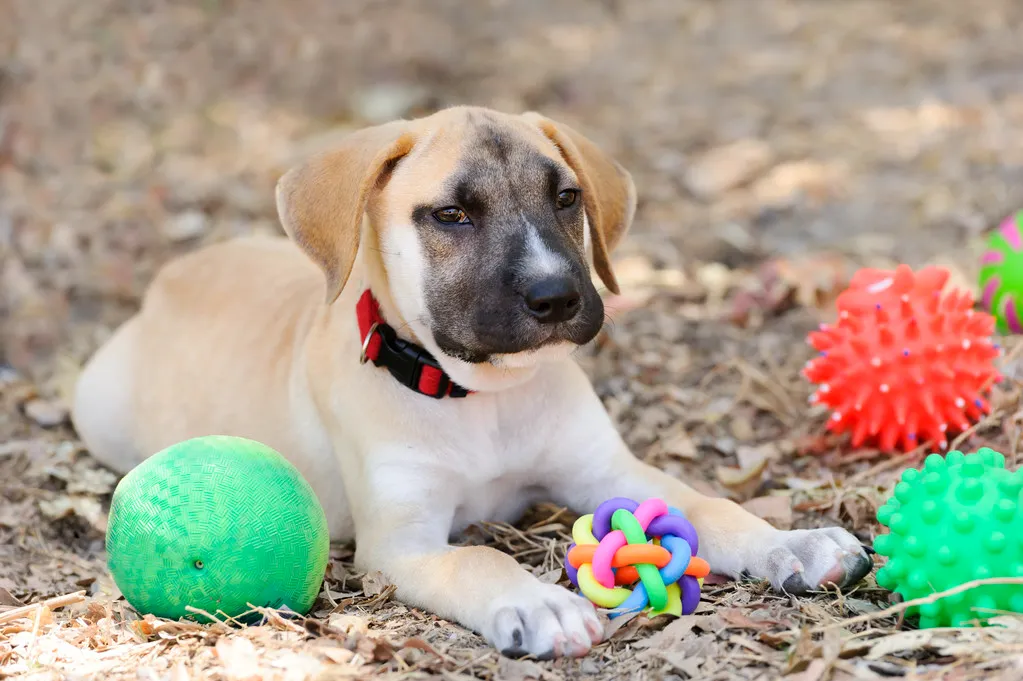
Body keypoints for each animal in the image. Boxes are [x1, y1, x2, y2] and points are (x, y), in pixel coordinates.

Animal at [72, 106, 871, 658]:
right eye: (451, 215)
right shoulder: (402, 546)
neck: (483, 397)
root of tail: (173, 274)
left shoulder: (610, 472)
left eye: (567, 198)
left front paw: (792, 543)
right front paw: (539, 604)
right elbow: (478, 557)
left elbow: (709, 505)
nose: (556, 298)